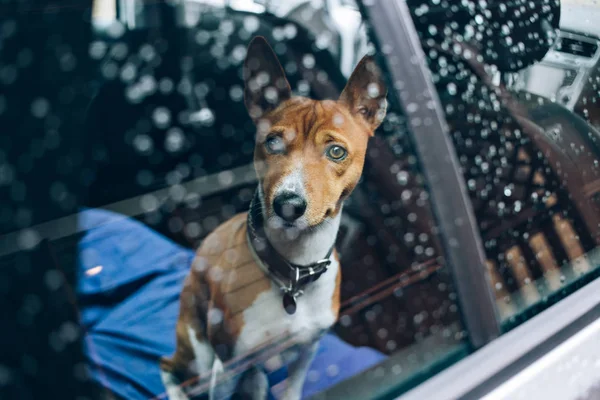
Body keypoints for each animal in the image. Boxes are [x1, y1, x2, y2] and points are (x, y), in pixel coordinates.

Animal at [157, 36, 386, 398]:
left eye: (336, 151)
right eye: (273, 142)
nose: (288, 204)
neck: (292, 271)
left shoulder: (308, 347)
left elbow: (293, 387)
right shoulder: (227, 368)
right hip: (199, 356)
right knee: (167, 367)